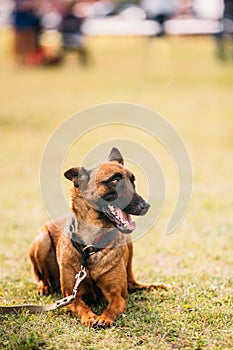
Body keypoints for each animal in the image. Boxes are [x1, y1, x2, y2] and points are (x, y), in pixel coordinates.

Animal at [29, 146, 167, 326]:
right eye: (115, 180)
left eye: (133, 181)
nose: (146, 206)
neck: (90, 246)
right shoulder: (71, 297)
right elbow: (82, 307)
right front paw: (90, 317)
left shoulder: (117, 295)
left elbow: (112, 307)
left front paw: (104, 318)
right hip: (42, 238)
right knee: (41, 277)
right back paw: (44, 287)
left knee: (132, 281)